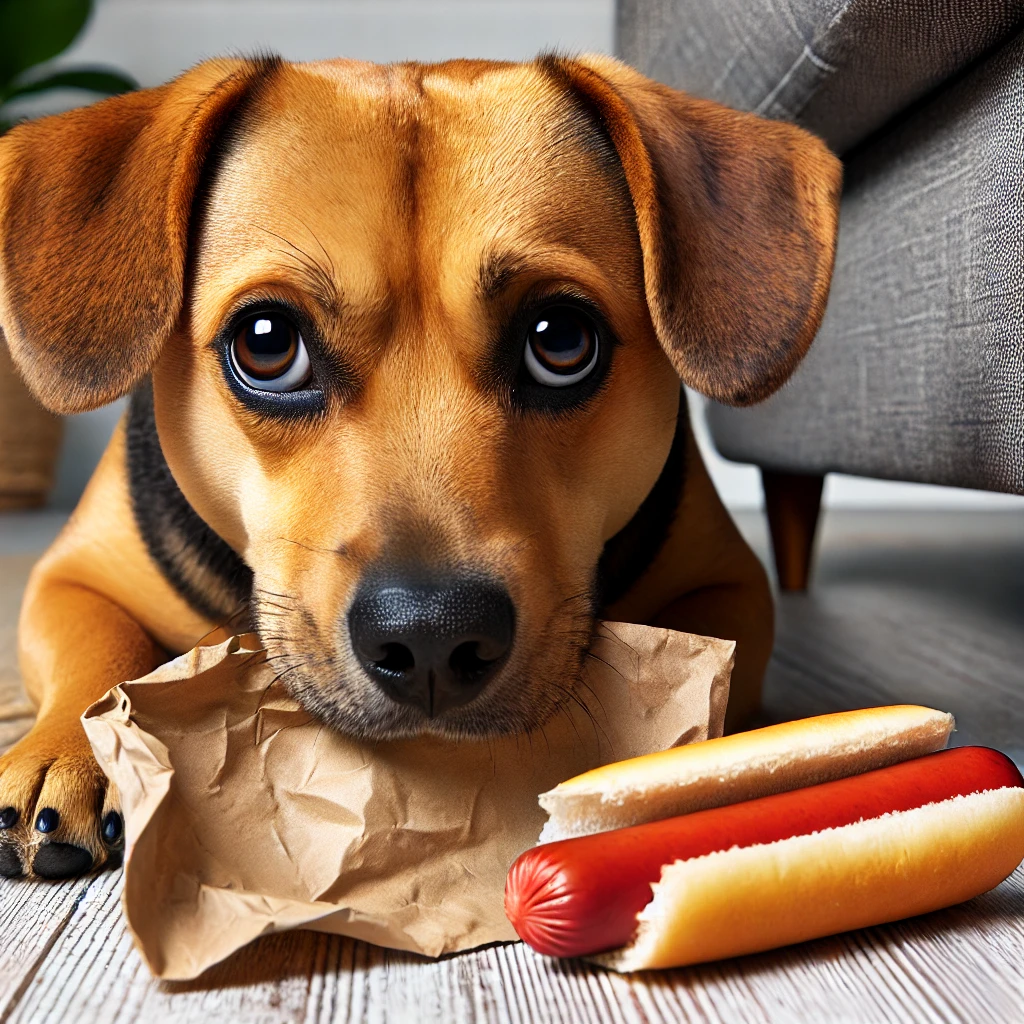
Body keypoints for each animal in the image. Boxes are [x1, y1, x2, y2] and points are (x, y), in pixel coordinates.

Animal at [0, 54, 839, 880]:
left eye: (561, 337)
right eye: (265, 342)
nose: (434, 636)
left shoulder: (730, 585)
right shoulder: (71, 577)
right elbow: (96, 648)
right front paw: (67, 752)